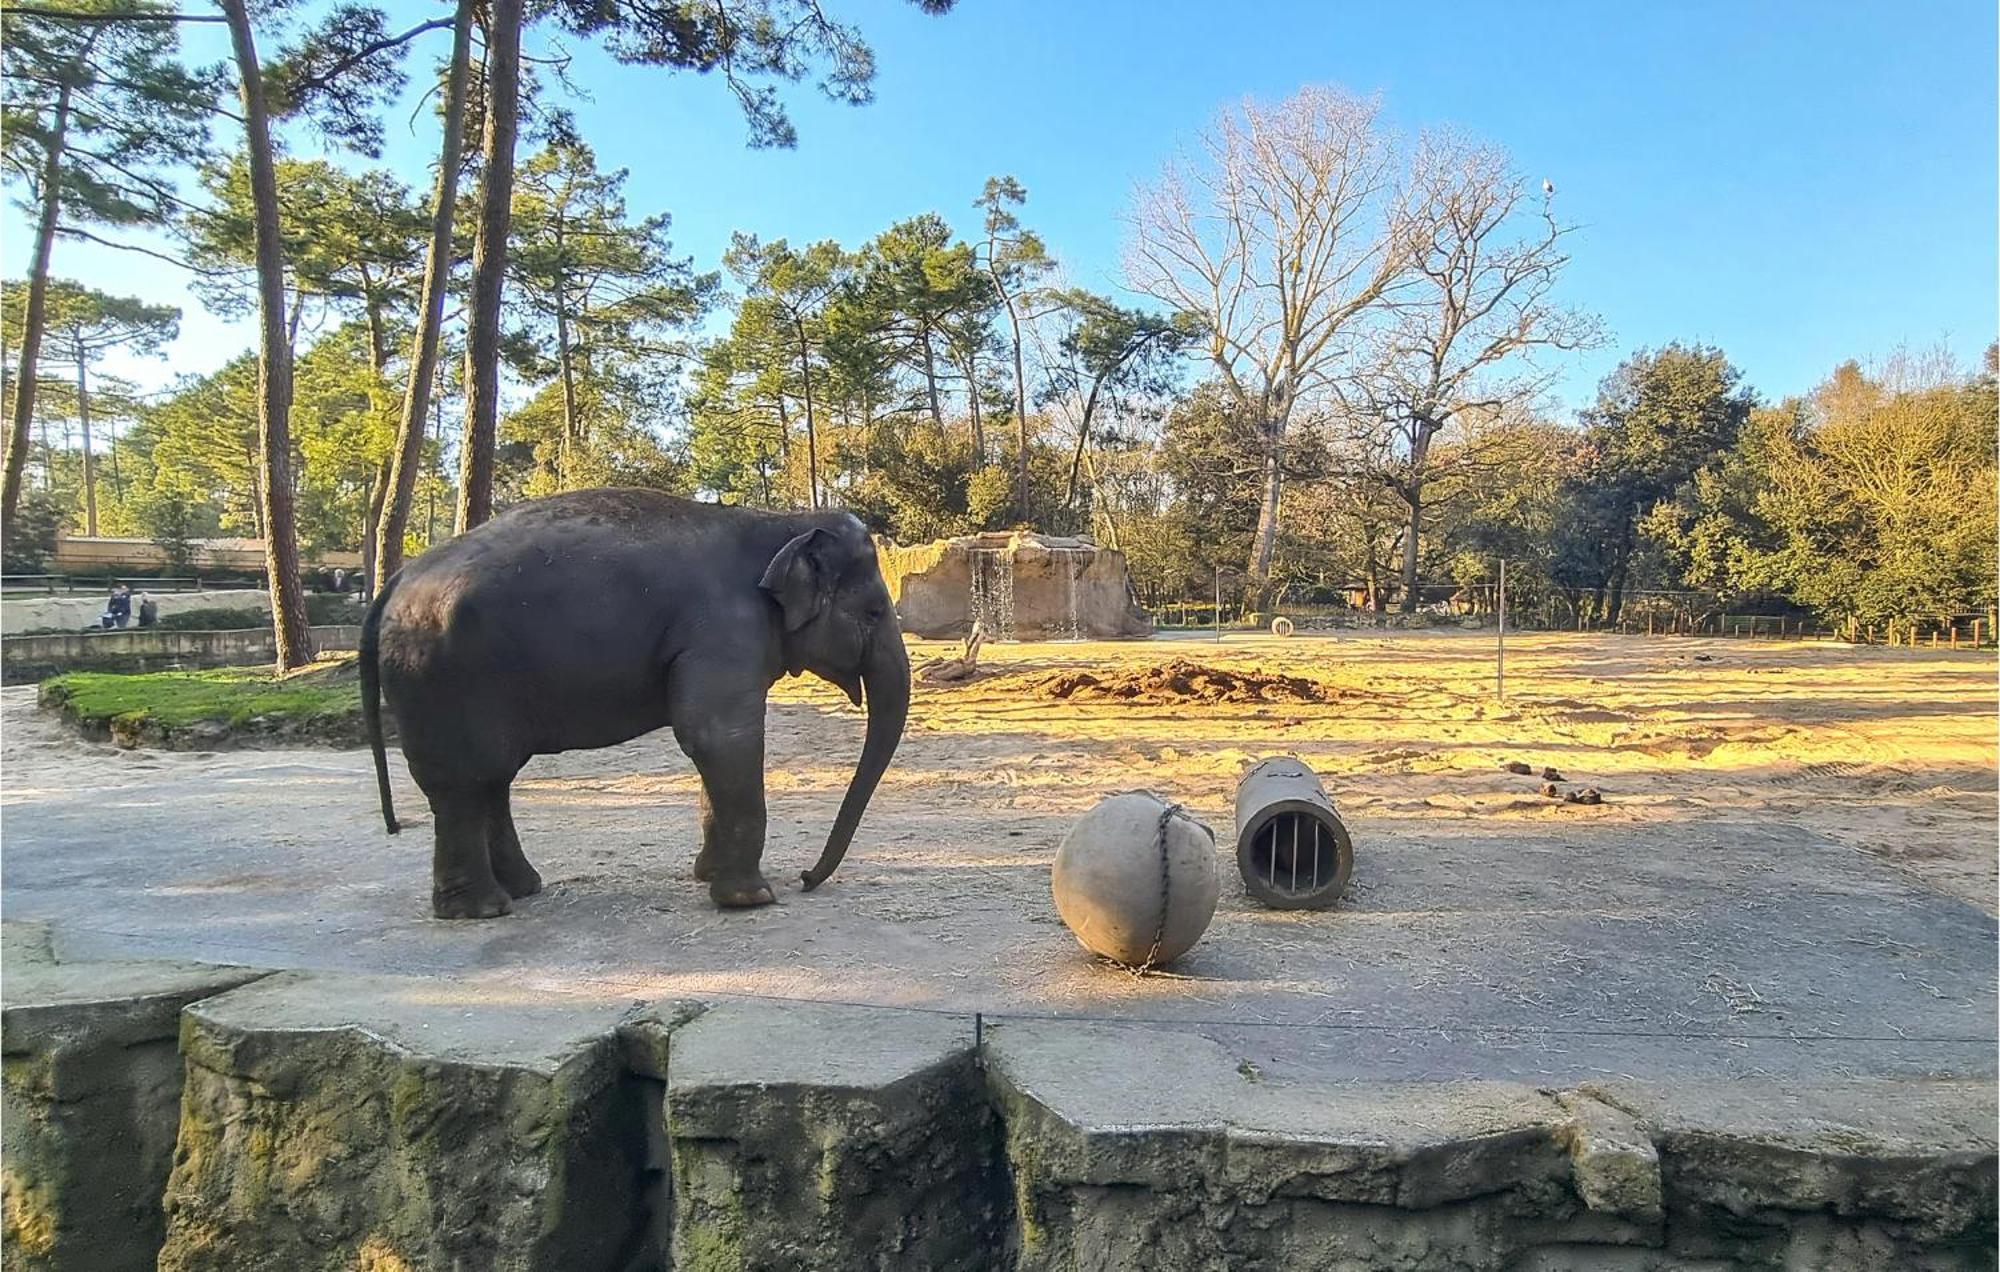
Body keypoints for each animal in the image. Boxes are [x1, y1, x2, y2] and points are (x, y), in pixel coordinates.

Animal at [364, 486, 912, 916]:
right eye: (874, 610)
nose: (804, 878)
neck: (780, 522)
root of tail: (393, 583)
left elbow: (714, 744)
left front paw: (706, 874)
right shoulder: (722, 630)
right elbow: (719, 736)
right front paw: (752, 899)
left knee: (490, 779)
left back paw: (523, 890)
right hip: (441, 680)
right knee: (463, 784)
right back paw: (482, 909)